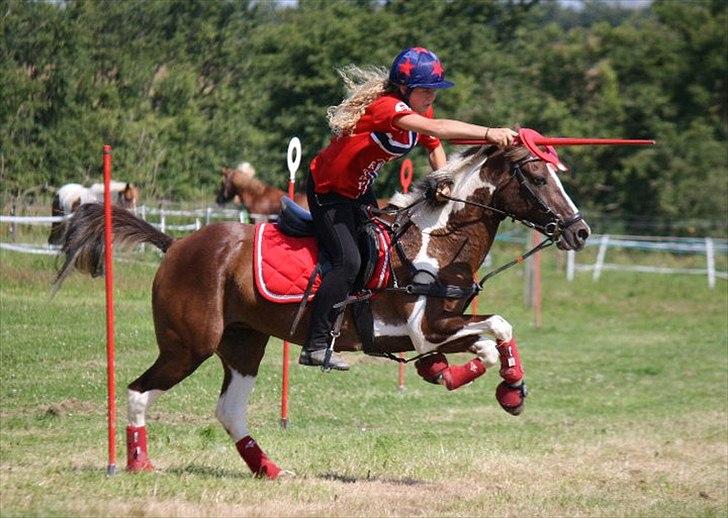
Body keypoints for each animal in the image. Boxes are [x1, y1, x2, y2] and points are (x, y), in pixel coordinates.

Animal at [55, 141, 592, 480]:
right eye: (538, 175)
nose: (580, 231)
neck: (437, 240)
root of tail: (175, 244)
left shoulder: (432, 330)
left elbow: (488, 337)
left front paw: (497, 383)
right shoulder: (426, 328)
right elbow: (496, 327)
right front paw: (505, 385)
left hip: (244, 345)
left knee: (229, 410)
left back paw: (269, 470)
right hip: (189, 346)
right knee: (139, 390)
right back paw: (136, 464)